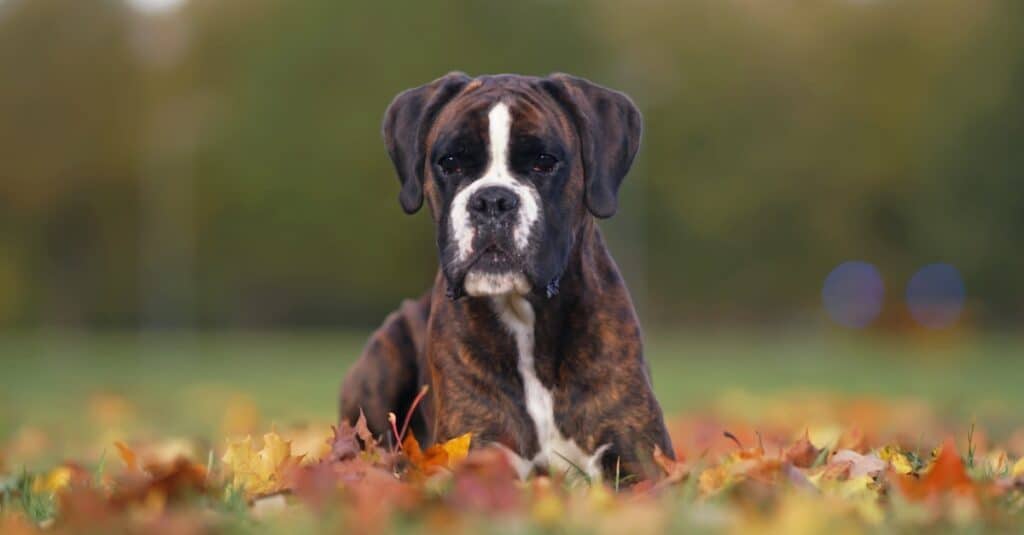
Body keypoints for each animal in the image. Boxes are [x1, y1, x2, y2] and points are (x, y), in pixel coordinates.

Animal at [342, 71, 671, 479]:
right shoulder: (477, 450)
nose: (492, 200)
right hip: (383, 358)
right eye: (451, 163)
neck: (527, 323)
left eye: (544, 162)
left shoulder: (640, 458)